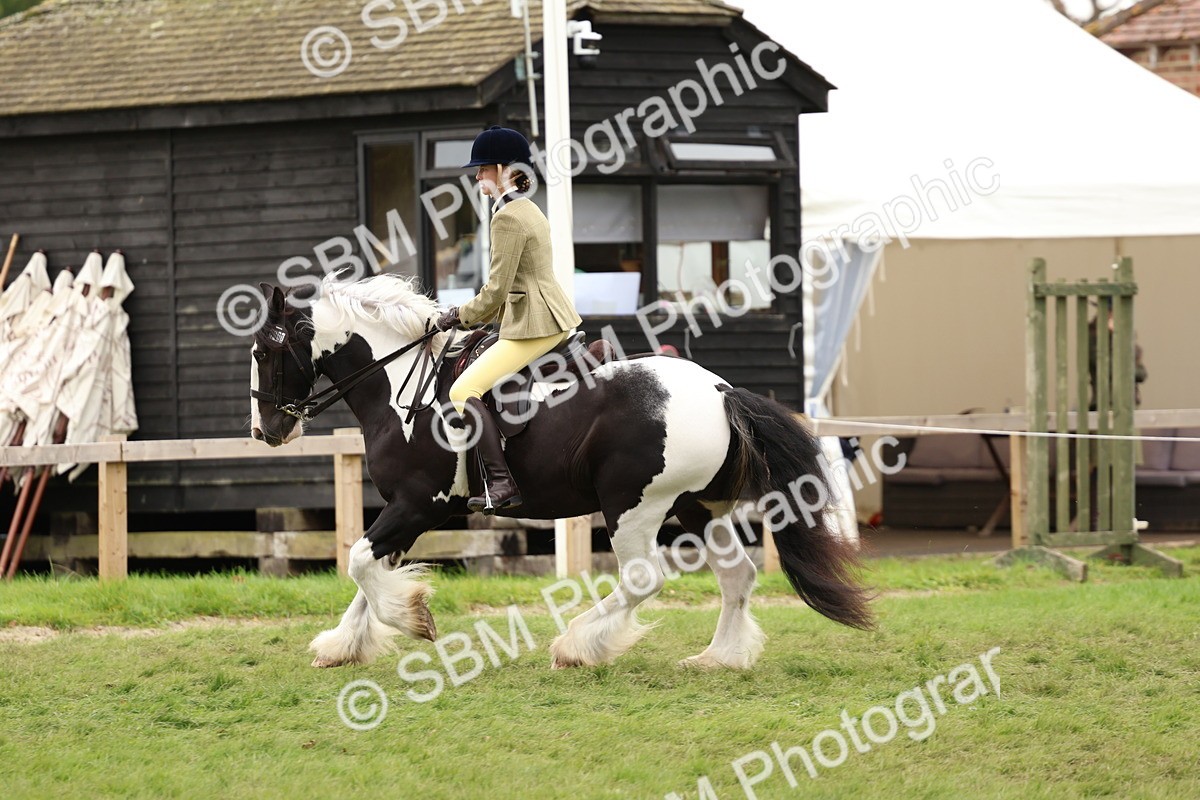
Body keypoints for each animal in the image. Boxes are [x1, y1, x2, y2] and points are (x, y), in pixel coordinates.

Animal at [249, 272, 872, 670]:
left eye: (262, 352)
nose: (265, 431)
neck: (402, 390)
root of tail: (721, 391)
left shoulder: (416, 504)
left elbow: (359, 562)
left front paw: (412, 619)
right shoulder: (410, 512)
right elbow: (367, 570)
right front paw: (343, 645)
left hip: (633, 506)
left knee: (643, 579)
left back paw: (578, 646)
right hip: (696, 508)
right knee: (737, 577)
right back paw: (720, 658)